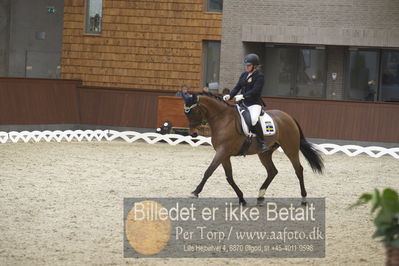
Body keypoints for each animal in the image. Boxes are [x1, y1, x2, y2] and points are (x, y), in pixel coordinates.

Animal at [182, 91, 324, 206]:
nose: (193, 134)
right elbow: (229, 177)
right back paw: (260, 197)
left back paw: (303, 199)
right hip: (265, 153)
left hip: (290, 148)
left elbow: (209, 171)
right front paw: (241, 199)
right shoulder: (224, 154)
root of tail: (289, 117)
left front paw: (195, 192)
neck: (223, 119)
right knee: (272, 171)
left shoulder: (222, 152)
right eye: (186, 113)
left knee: (298, 170)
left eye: (194, 111)